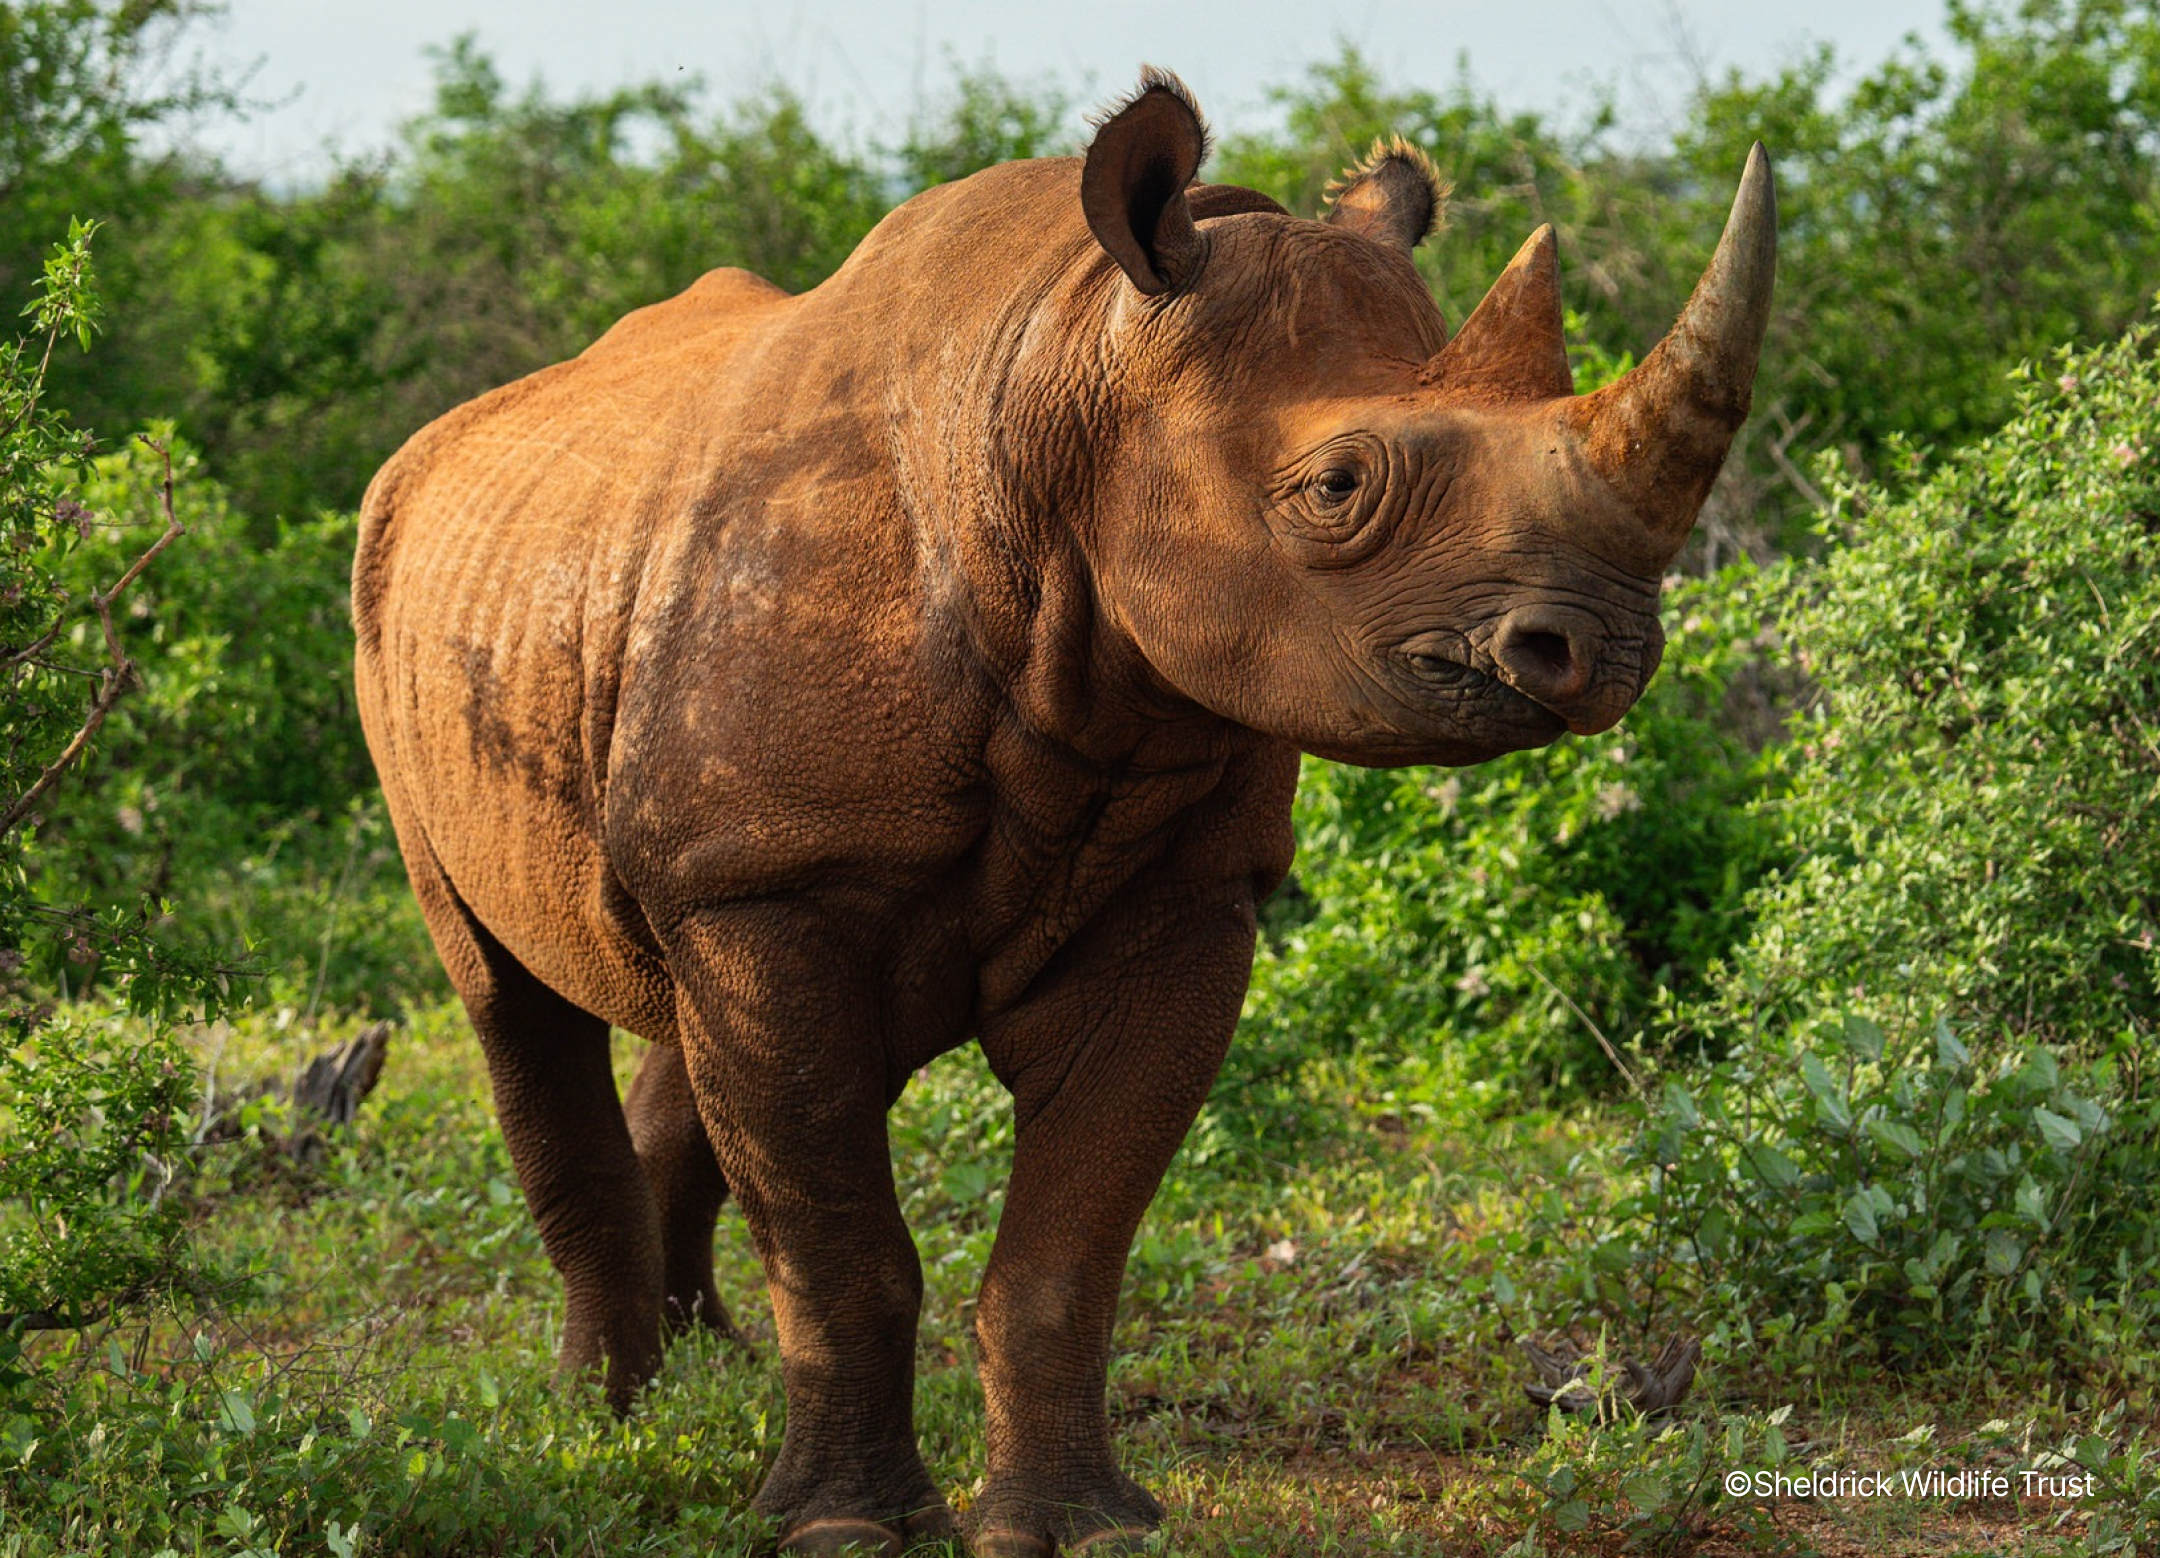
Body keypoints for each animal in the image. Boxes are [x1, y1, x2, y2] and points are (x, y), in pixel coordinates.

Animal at [353, 69, 1774, 1556]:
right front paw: (847, 1531)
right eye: (1337, 487)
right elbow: (841, 1239)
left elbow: (1066, 1249)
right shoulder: (776, 875)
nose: (1604, 647)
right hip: (397, 604)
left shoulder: (1174, 891)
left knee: (680, 1001)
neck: (1064, 383)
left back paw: (705, 1375)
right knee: (507, 994)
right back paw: (607, 1416)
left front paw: (1080, 1527)